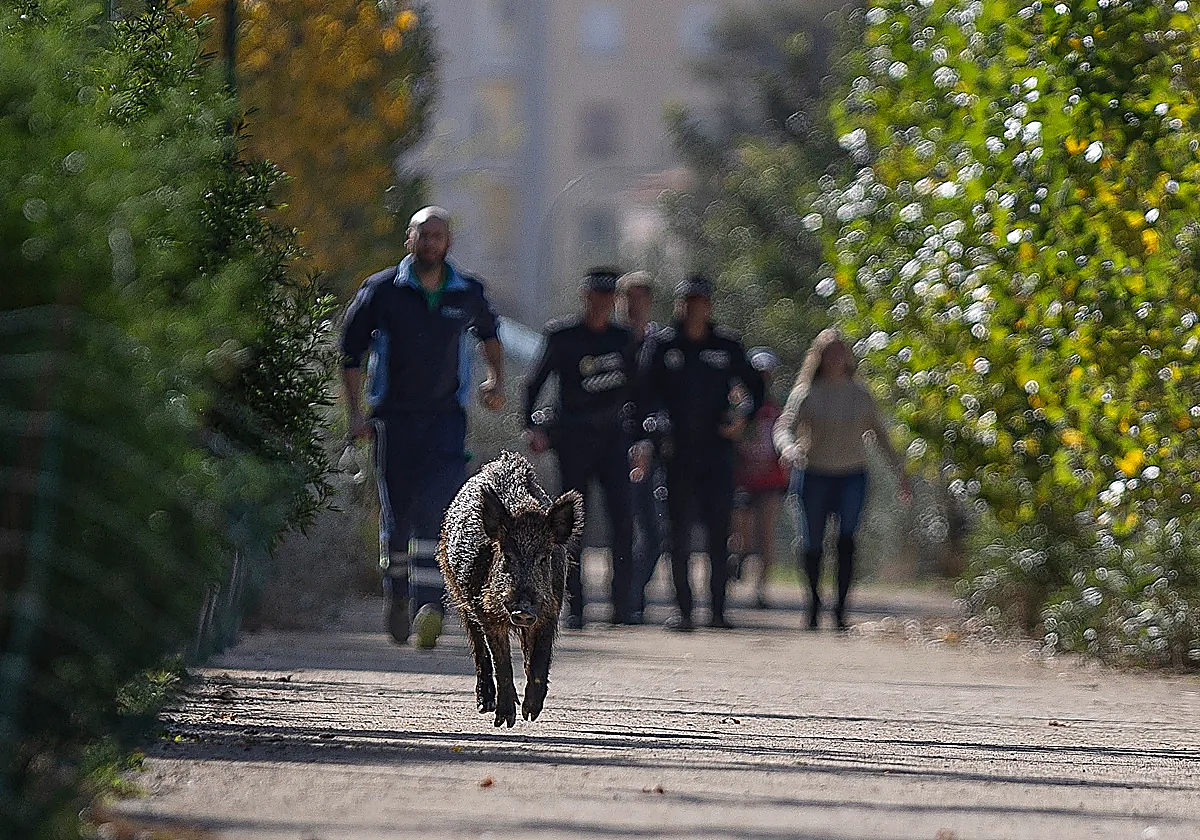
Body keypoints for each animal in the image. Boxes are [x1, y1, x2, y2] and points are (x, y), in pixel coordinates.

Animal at [438, 451, 583, 727]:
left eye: (544, 558)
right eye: (507, 556)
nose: (522, 609)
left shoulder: (551, 609)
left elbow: (539, 658)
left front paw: (531, 713)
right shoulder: (487, 612)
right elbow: (501, 662)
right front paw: (506, 720)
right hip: (456, 590)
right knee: (479, 648)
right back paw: (485, 704)